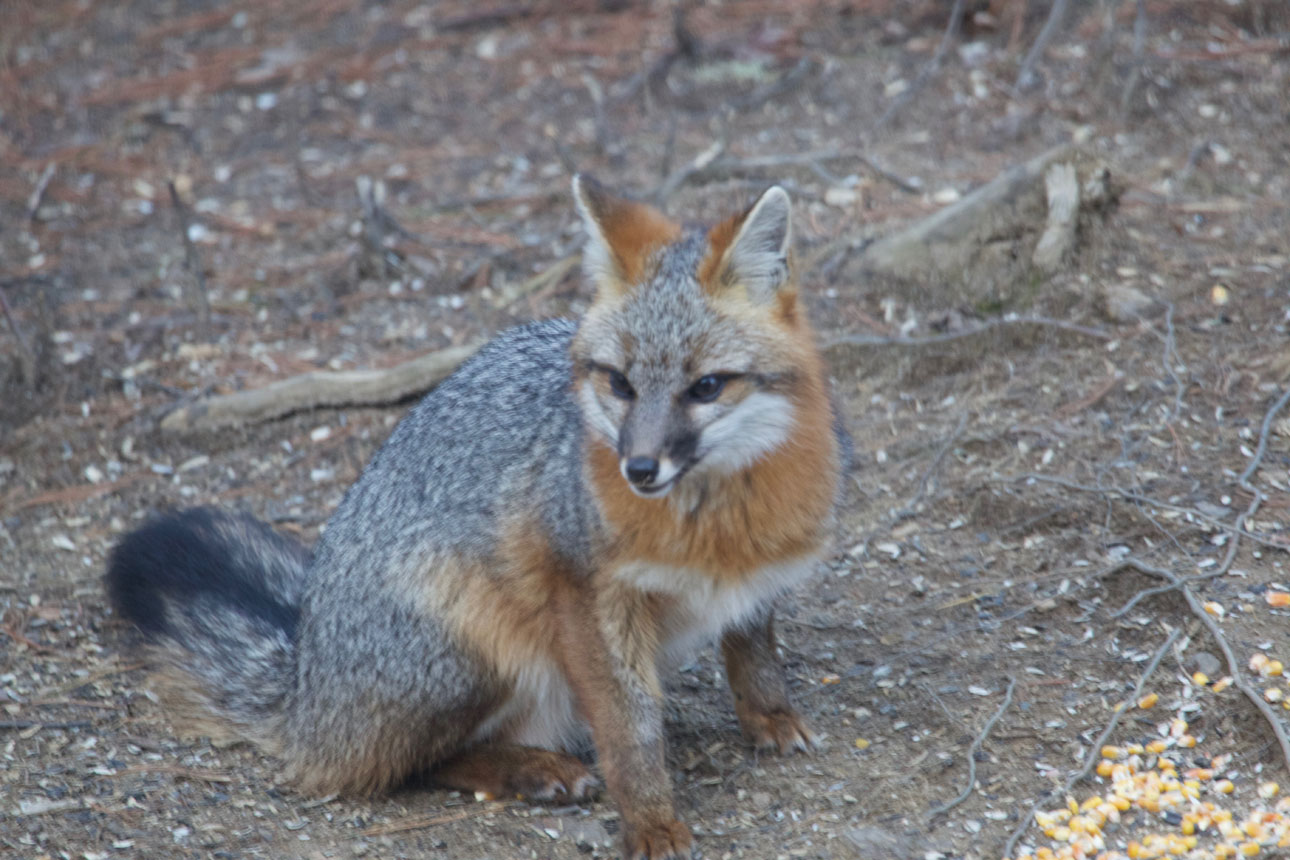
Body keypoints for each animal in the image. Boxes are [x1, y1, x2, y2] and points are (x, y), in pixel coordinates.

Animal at [106, 176, 850, 860]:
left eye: (705, 388)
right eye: (619, 383)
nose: (639, 469)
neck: (715, 526)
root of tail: (305, 678)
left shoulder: (757, 576)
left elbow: (753, 647)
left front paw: (769, 716)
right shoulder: (588, 595)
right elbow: (631, 728)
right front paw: (651, 822)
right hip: (475, 652)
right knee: (398, 767)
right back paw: (532, 769)